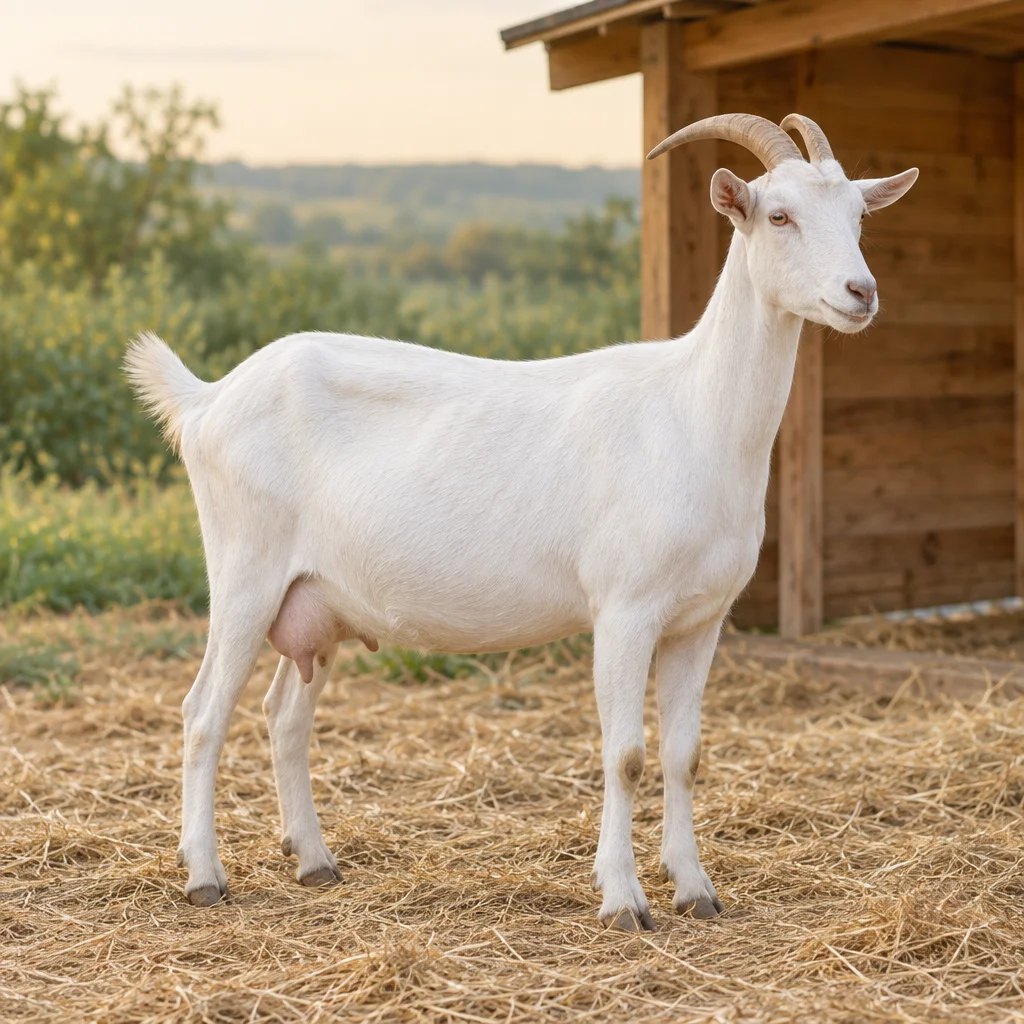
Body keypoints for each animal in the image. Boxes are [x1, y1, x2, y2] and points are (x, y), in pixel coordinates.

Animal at [125, 113, 917, 929]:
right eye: (779, 215)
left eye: (859, 215)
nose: (861, 292)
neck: (692, 411)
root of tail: (207, 400)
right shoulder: (625, 609)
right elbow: (626, 756)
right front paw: (623, 900)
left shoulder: (701, 620)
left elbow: (684, 754)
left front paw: (696, 889)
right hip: (244, 571)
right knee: (202, 713)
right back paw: (204, 875)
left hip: (317, 599)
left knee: (285, 714)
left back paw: (314, 861)